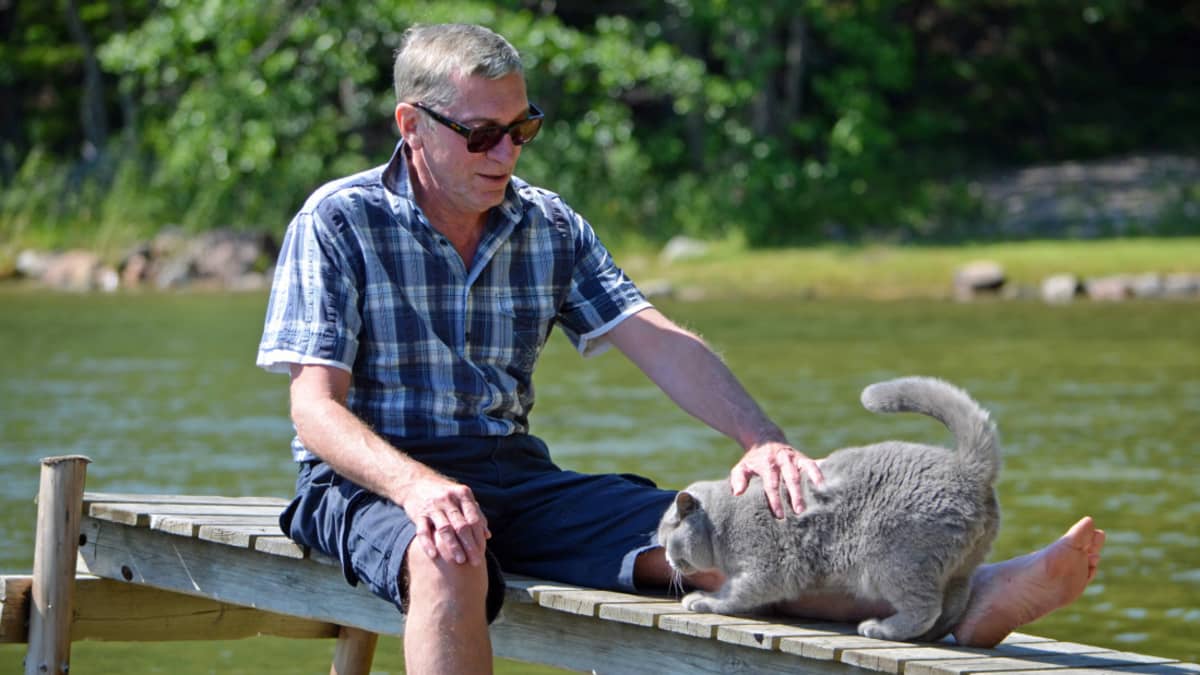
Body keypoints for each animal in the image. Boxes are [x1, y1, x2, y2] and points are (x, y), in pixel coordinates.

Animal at [662, 374, 998, 638]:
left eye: (666, 541)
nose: (666, 558)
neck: (722, 524)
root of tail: (967, 468)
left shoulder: (766, 568)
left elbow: (734, 594)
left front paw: (704, 599)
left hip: (895, 562)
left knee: (925, 609)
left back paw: (881, 628)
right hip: (959, 568)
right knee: (953, 607)